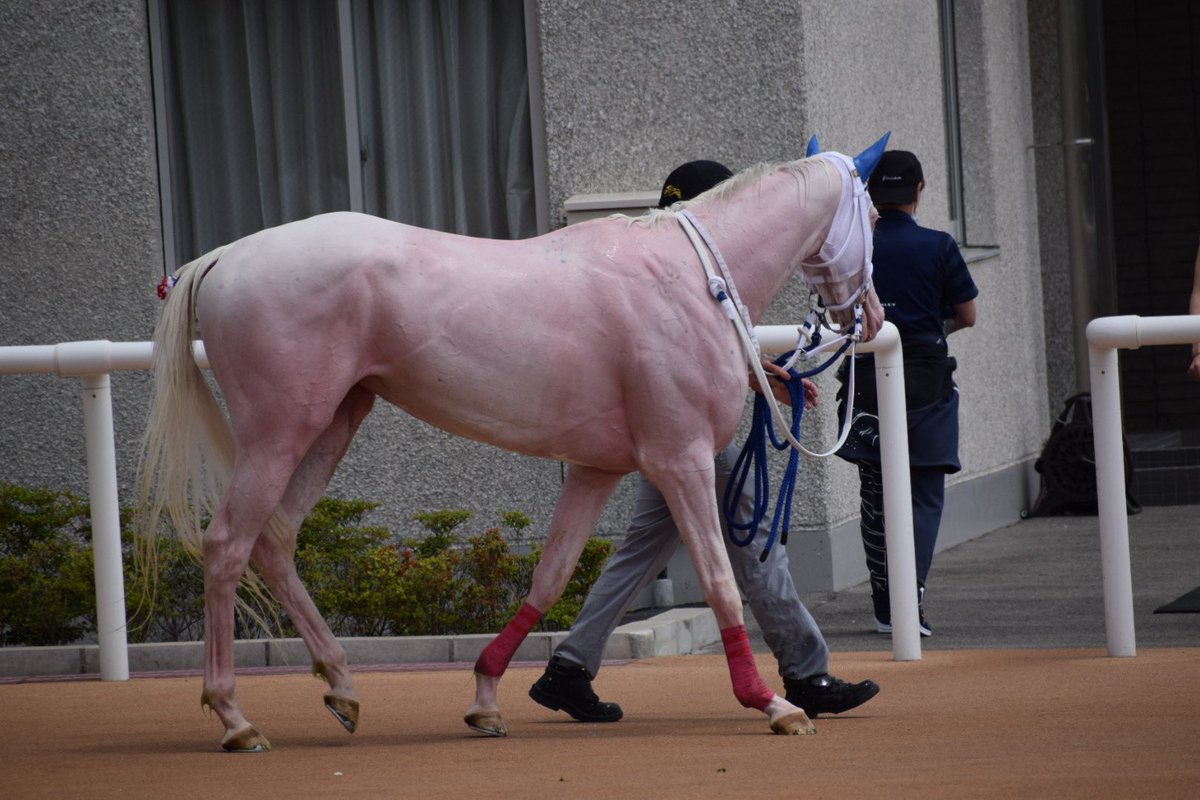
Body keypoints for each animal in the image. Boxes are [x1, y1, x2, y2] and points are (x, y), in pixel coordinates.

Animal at [138, 134, 889, 752]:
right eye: (877, 218)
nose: (872, 316)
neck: (690, 278)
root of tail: (224, 258)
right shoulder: (682, 459)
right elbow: (719, 579)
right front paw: (773, 703)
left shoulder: (596, 467)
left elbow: (551, 576)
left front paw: (487, 698)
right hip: (279, 431)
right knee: (227, 544)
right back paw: (235, 718)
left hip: (332, 422)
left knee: (276, 540)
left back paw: (343, 688)